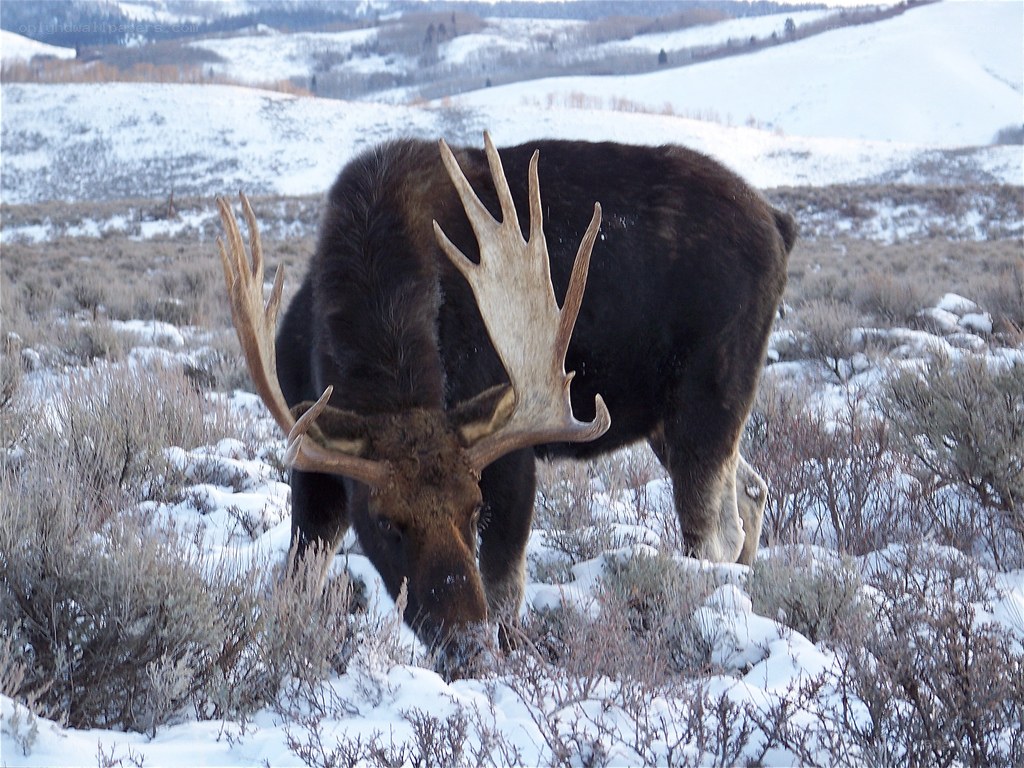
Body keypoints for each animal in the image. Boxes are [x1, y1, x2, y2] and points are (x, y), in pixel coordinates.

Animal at [217, 133, 795, 678]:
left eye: (472, 506)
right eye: (384, 522)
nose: (465, 645)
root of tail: (779, 223)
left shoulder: (511, 454)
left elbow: (503, 594)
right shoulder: (313, 458)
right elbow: (294, 587)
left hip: (712, 393)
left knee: (714, 533)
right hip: (666, 420)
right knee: (752, 490)